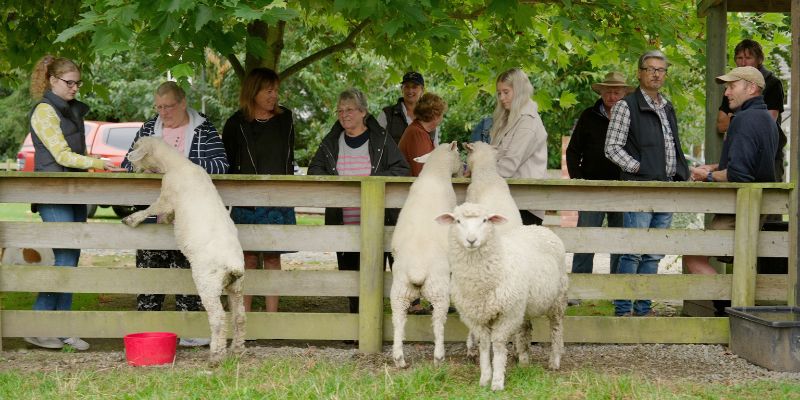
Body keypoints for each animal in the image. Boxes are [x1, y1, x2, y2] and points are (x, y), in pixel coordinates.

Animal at [121, 137, 246, 365]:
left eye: (135, 147)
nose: (131, 168)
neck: (177, 164)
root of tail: (233, 266)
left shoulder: (167, 196)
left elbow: (153, 209)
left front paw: (132, 219)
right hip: (237, 286)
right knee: (239, 316)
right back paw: (238, 350)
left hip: (208, 283)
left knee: (218, 318)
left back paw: (216, 356)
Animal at [390, 141, 462, 368]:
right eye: (459, 153)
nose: (463, 170)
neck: (435, 174)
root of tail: (417, 272)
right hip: (439, 291)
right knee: (438, 322)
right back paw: (439, 357)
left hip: (399, 292)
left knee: (398, 321)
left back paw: (399, 358)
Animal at [436, 202, 567, 391]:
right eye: (458, 221)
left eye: (485, 220)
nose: (471, 240)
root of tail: (538, 227)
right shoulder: (477, 317)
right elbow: (484, 345)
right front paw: (485, 378)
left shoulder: (507, 314)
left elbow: (498, 346)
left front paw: (497, 381)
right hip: (523, 305)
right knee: (525, 329)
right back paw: (524, 362)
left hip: (557, 299)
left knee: (556, 328)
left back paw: (554, 361)